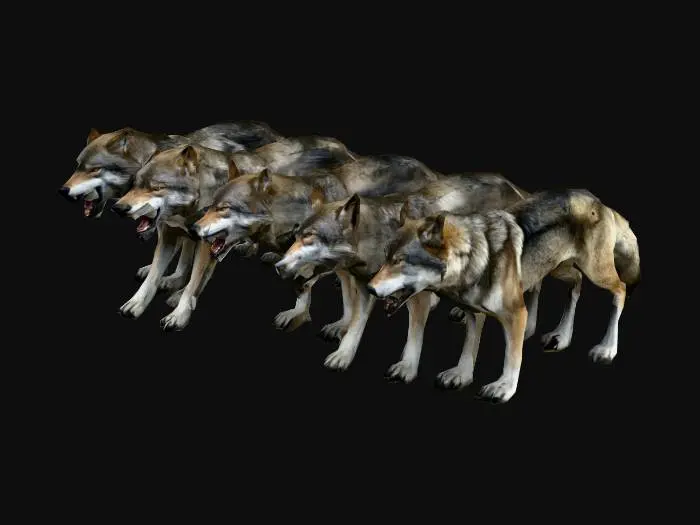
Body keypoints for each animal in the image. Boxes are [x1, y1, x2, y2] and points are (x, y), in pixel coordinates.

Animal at [111, 136, 356, 331]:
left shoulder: (205, 243)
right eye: (135, 185)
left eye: (156, 187)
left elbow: (193, 281)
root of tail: (344, 148)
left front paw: (178, 314)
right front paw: (137, 303)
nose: (118, 208)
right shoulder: (174, 233)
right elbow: (155, 277)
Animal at [189, 154, 441, 337]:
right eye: (211, 207)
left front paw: (333, 324)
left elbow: (330, 293)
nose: (193, 229)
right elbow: (307, 287)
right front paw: (306, 314)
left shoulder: (334, 261)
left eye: (224, 208)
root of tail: (428, 170)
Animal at [367, 189, 641, 403]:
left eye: (400, 261)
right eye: (385, 257)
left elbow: (512, 355)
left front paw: (504, 388)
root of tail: (598, 201)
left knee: (620, 289)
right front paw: (461, 375)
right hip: (558, 268)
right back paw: (561, 336)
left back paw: (607, 348)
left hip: (596, 271)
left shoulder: (516, 312)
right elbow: (469, 347)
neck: (475, 258)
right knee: (576, 283)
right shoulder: (474, 312)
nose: (369, 288)